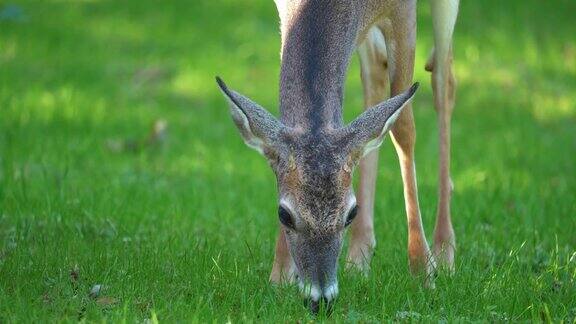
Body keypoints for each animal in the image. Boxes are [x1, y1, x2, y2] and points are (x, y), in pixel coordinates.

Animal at [216, 0, 460, 314]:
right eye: (283, 213)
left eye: (350, 214)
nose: (320, 300)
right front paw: (279, 276)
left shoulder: (404, 10)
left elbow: (404, 126)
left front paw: (422, 272)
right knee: (376, 75)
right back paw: (358, 257)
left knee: (443, 80)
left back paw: (444, 252)